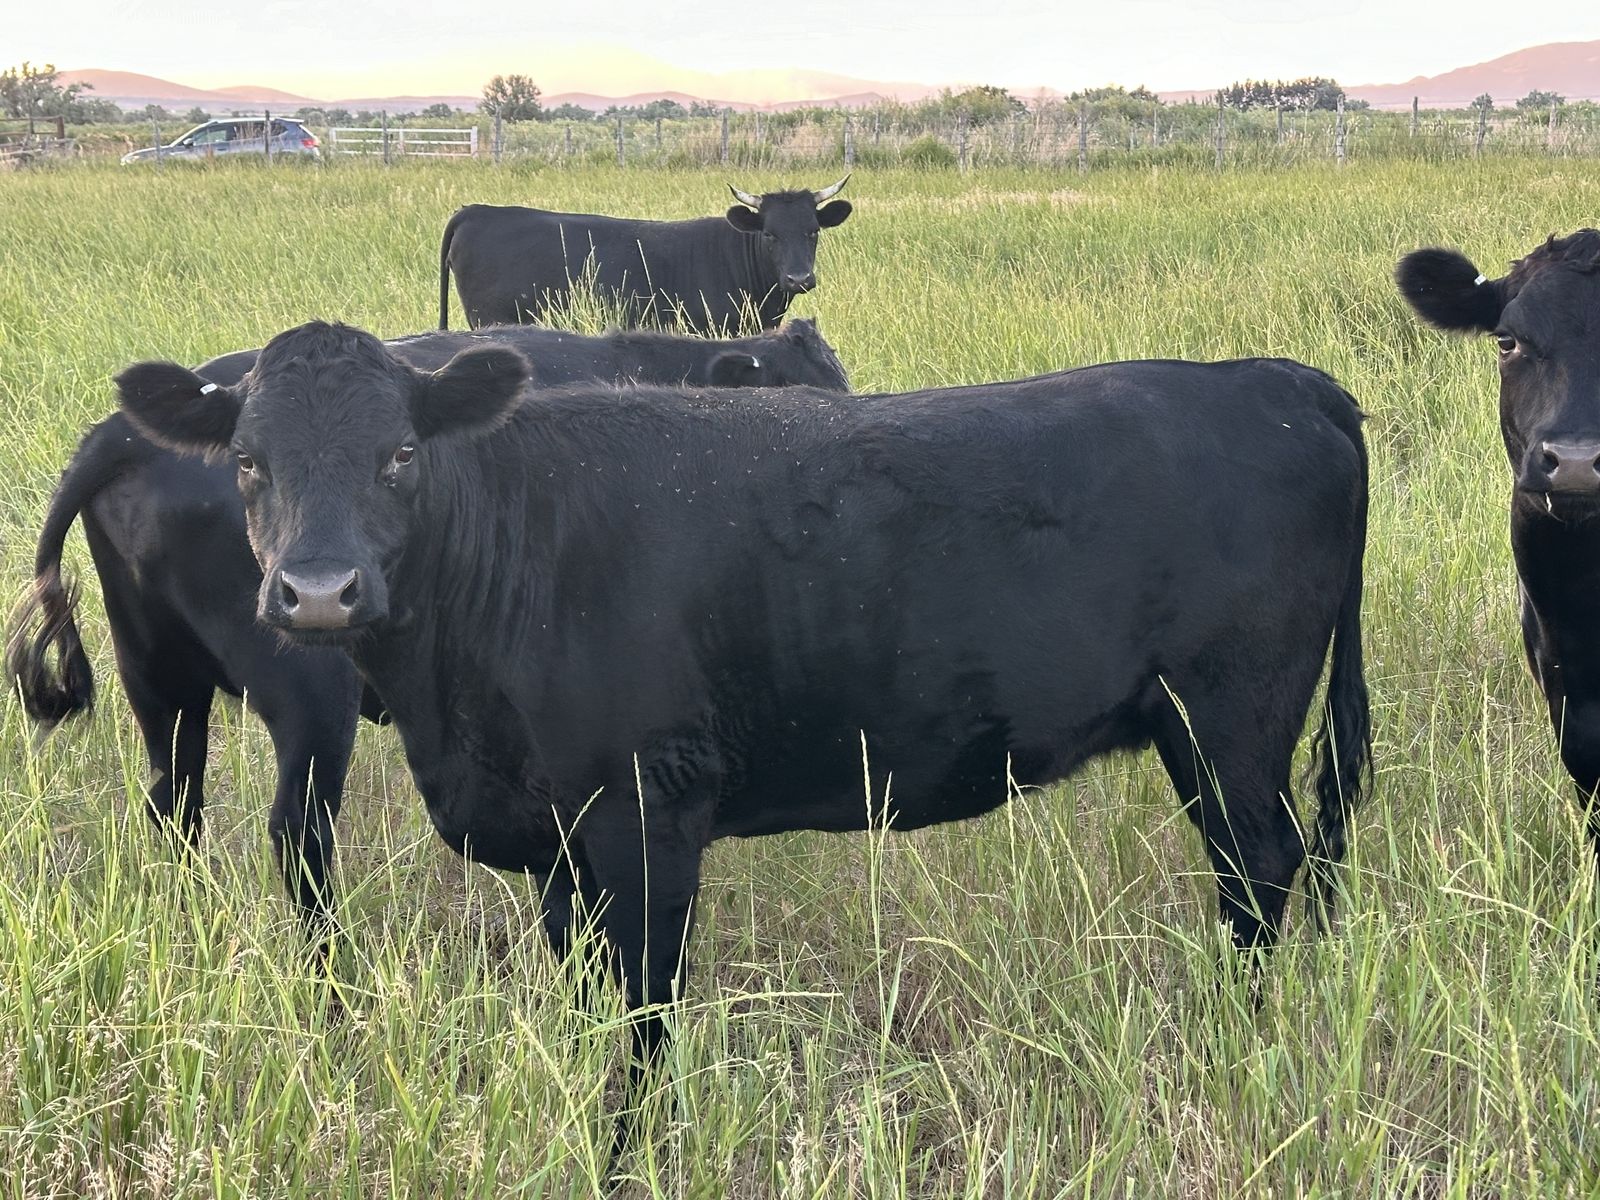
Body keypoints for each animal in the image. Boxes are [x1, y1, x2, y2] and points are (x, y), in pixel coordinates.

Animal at [6, 320, 852, 940]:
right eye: (795, 400)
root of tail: (119, 433)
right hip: (309, 695)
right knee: (299, 836)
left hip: (156, 678)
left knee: (174, 807)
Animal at [113, 320, 1372, 1122]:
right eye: (246, 462)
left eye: (402, 452)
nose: (319, 592)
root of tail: (1276, 381)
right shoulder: (560, 843)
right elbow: (588, 997)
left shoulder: (646, 816)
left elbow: (645, 1016)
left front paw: (636, 1146)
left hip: (1230, 719)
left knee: (1259, 870)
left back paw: (1236, 1036)